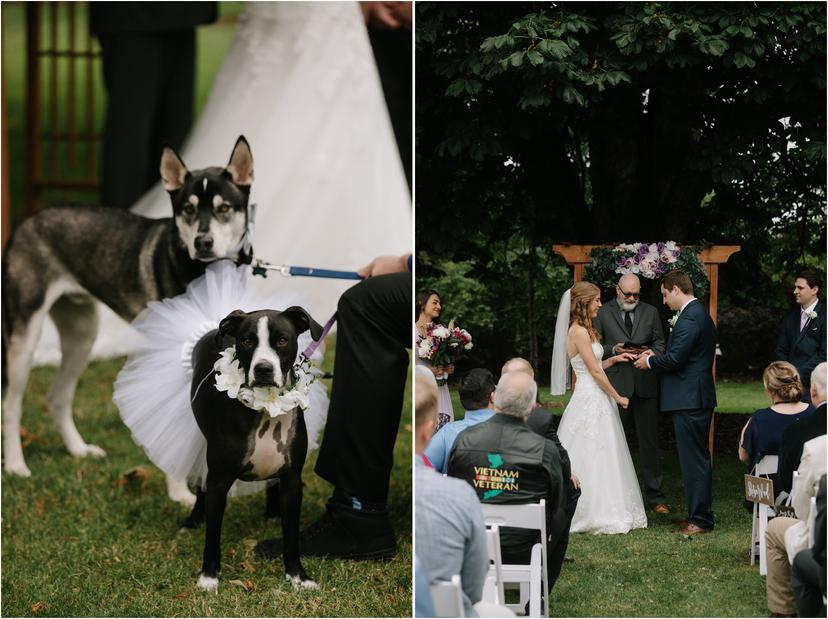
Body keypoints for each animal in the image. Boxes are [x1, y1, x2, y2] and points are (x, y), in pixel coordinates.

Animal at [2, 137, 252, 490]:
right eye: (187, 210)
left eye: (224, 209)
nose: (203, 242)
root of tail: (26, 222)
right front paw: (180, 493)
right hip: (25, 339)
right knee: (11, 406)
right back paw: (15, 465)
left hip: (82, 335)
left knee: (57, 397)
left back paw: (79, 449)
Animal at [187, 308, 320, 592]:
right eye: (247, 341)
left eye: (282, 340)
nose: (263, 369)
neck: (265, 408)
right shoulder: (218, 481)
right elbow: (212, 536)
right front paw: (208, 577)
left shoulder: (292, 482)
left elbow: (291, 538)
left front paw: (298, 576)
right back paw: (192, 521)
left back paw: (272, 513)